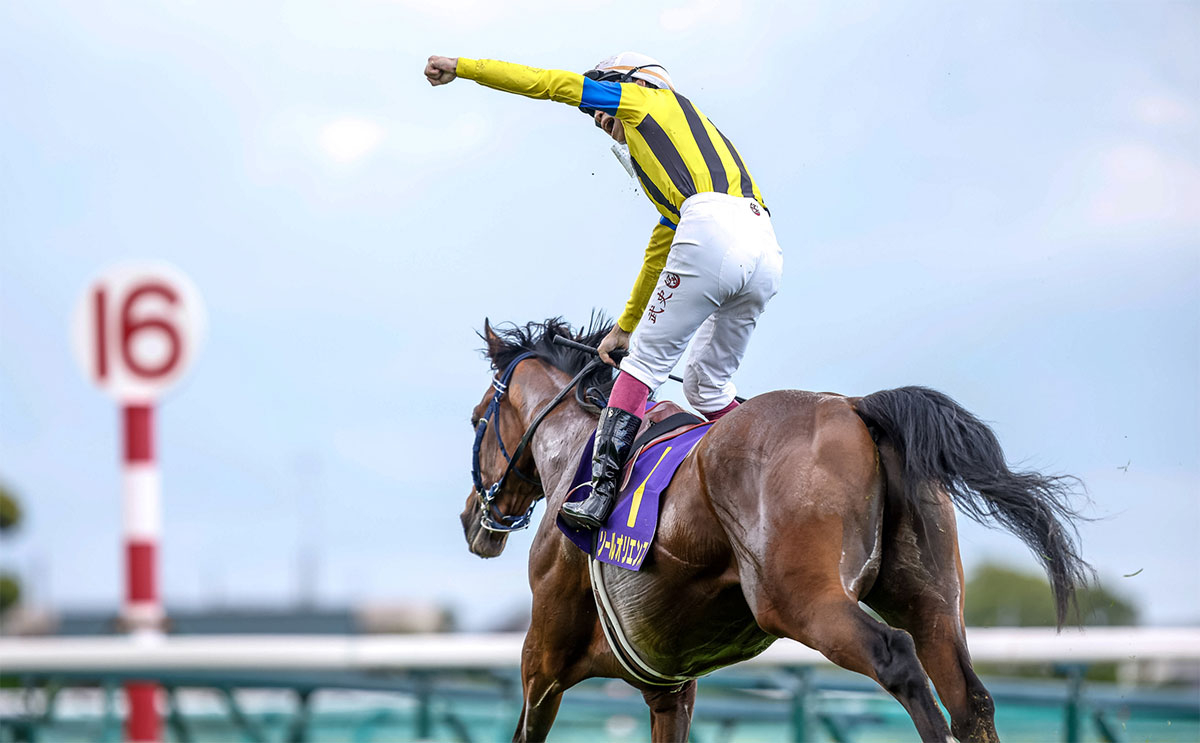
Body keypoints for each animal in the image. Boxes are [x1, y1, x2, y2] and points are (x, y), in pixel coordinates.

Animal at [463, 316, 1094, 739]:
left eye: (476, 421)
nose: (474, 518)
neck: (579, 452)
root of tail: (855, 407)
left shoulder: (542, 662)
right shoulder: (670, 687)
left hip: (799, 600)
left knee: (897, 658)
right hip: (931, 599)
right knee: (969, 698)